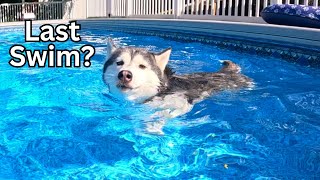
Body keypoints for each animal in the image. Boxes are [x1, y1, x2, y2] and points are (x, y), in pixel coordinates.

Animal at [102, 38, 252, 132]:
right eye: (119, 63)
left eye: (142, 66)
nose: (125, 74)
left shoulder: (183, 101)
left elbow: (166, 114)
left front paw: (153, 125)